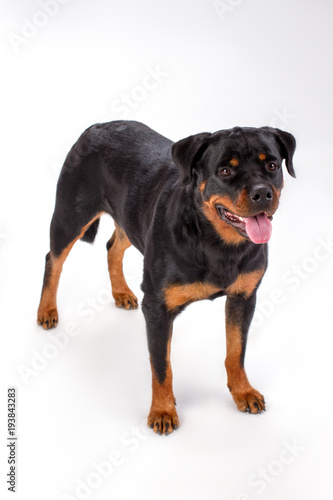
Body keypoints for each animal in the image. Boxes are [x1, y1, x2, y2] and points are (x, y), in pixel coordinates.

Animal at [37, 120, 296, 434]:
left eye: (272, 165)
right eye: (225, 171)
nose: (262, 193)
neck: (216, 243)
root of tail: (97, 126)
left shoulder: (243, 297)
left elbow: (236, 351)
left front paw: (242, 391)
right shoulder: (157, 308)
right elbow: (162, 367)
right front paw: (162, 411)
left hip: (129, 220)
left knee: (113, 246)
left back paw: (120, 292)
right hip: (70, 215)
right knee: (54, 260)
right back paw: (47, 310)